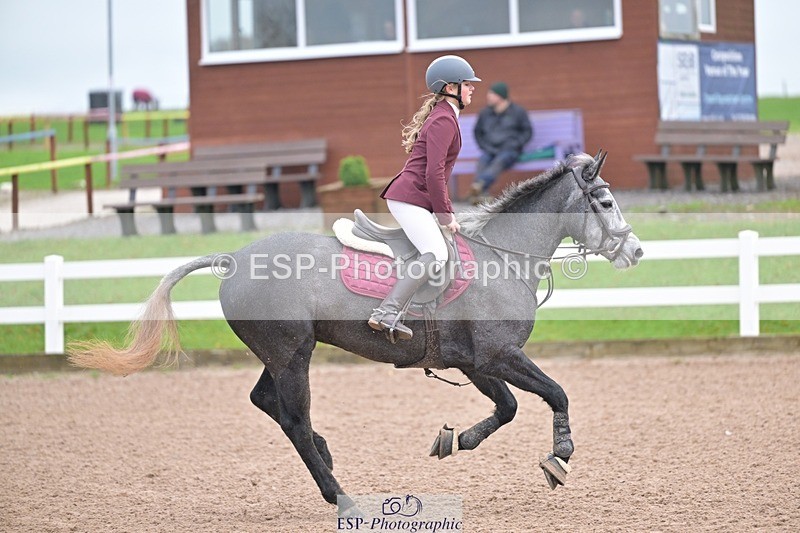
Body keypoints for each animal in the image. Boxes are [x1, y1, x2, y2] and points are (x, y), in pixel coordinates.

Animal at [68, 151, 643, 510]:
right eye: (606, 202)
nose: (636, 250)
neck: (502, 257)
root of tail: (233, 258)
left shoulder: (475, 362)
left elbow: (508, 407)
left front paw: (455, 440)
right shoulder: (497, 356)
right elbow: (555, 393)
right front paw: (560, 456)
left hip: (283, 352)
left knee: (267, 402)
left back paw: (326, 453)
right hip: (292, 355)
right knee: (294, 419)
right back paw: (338, 494)